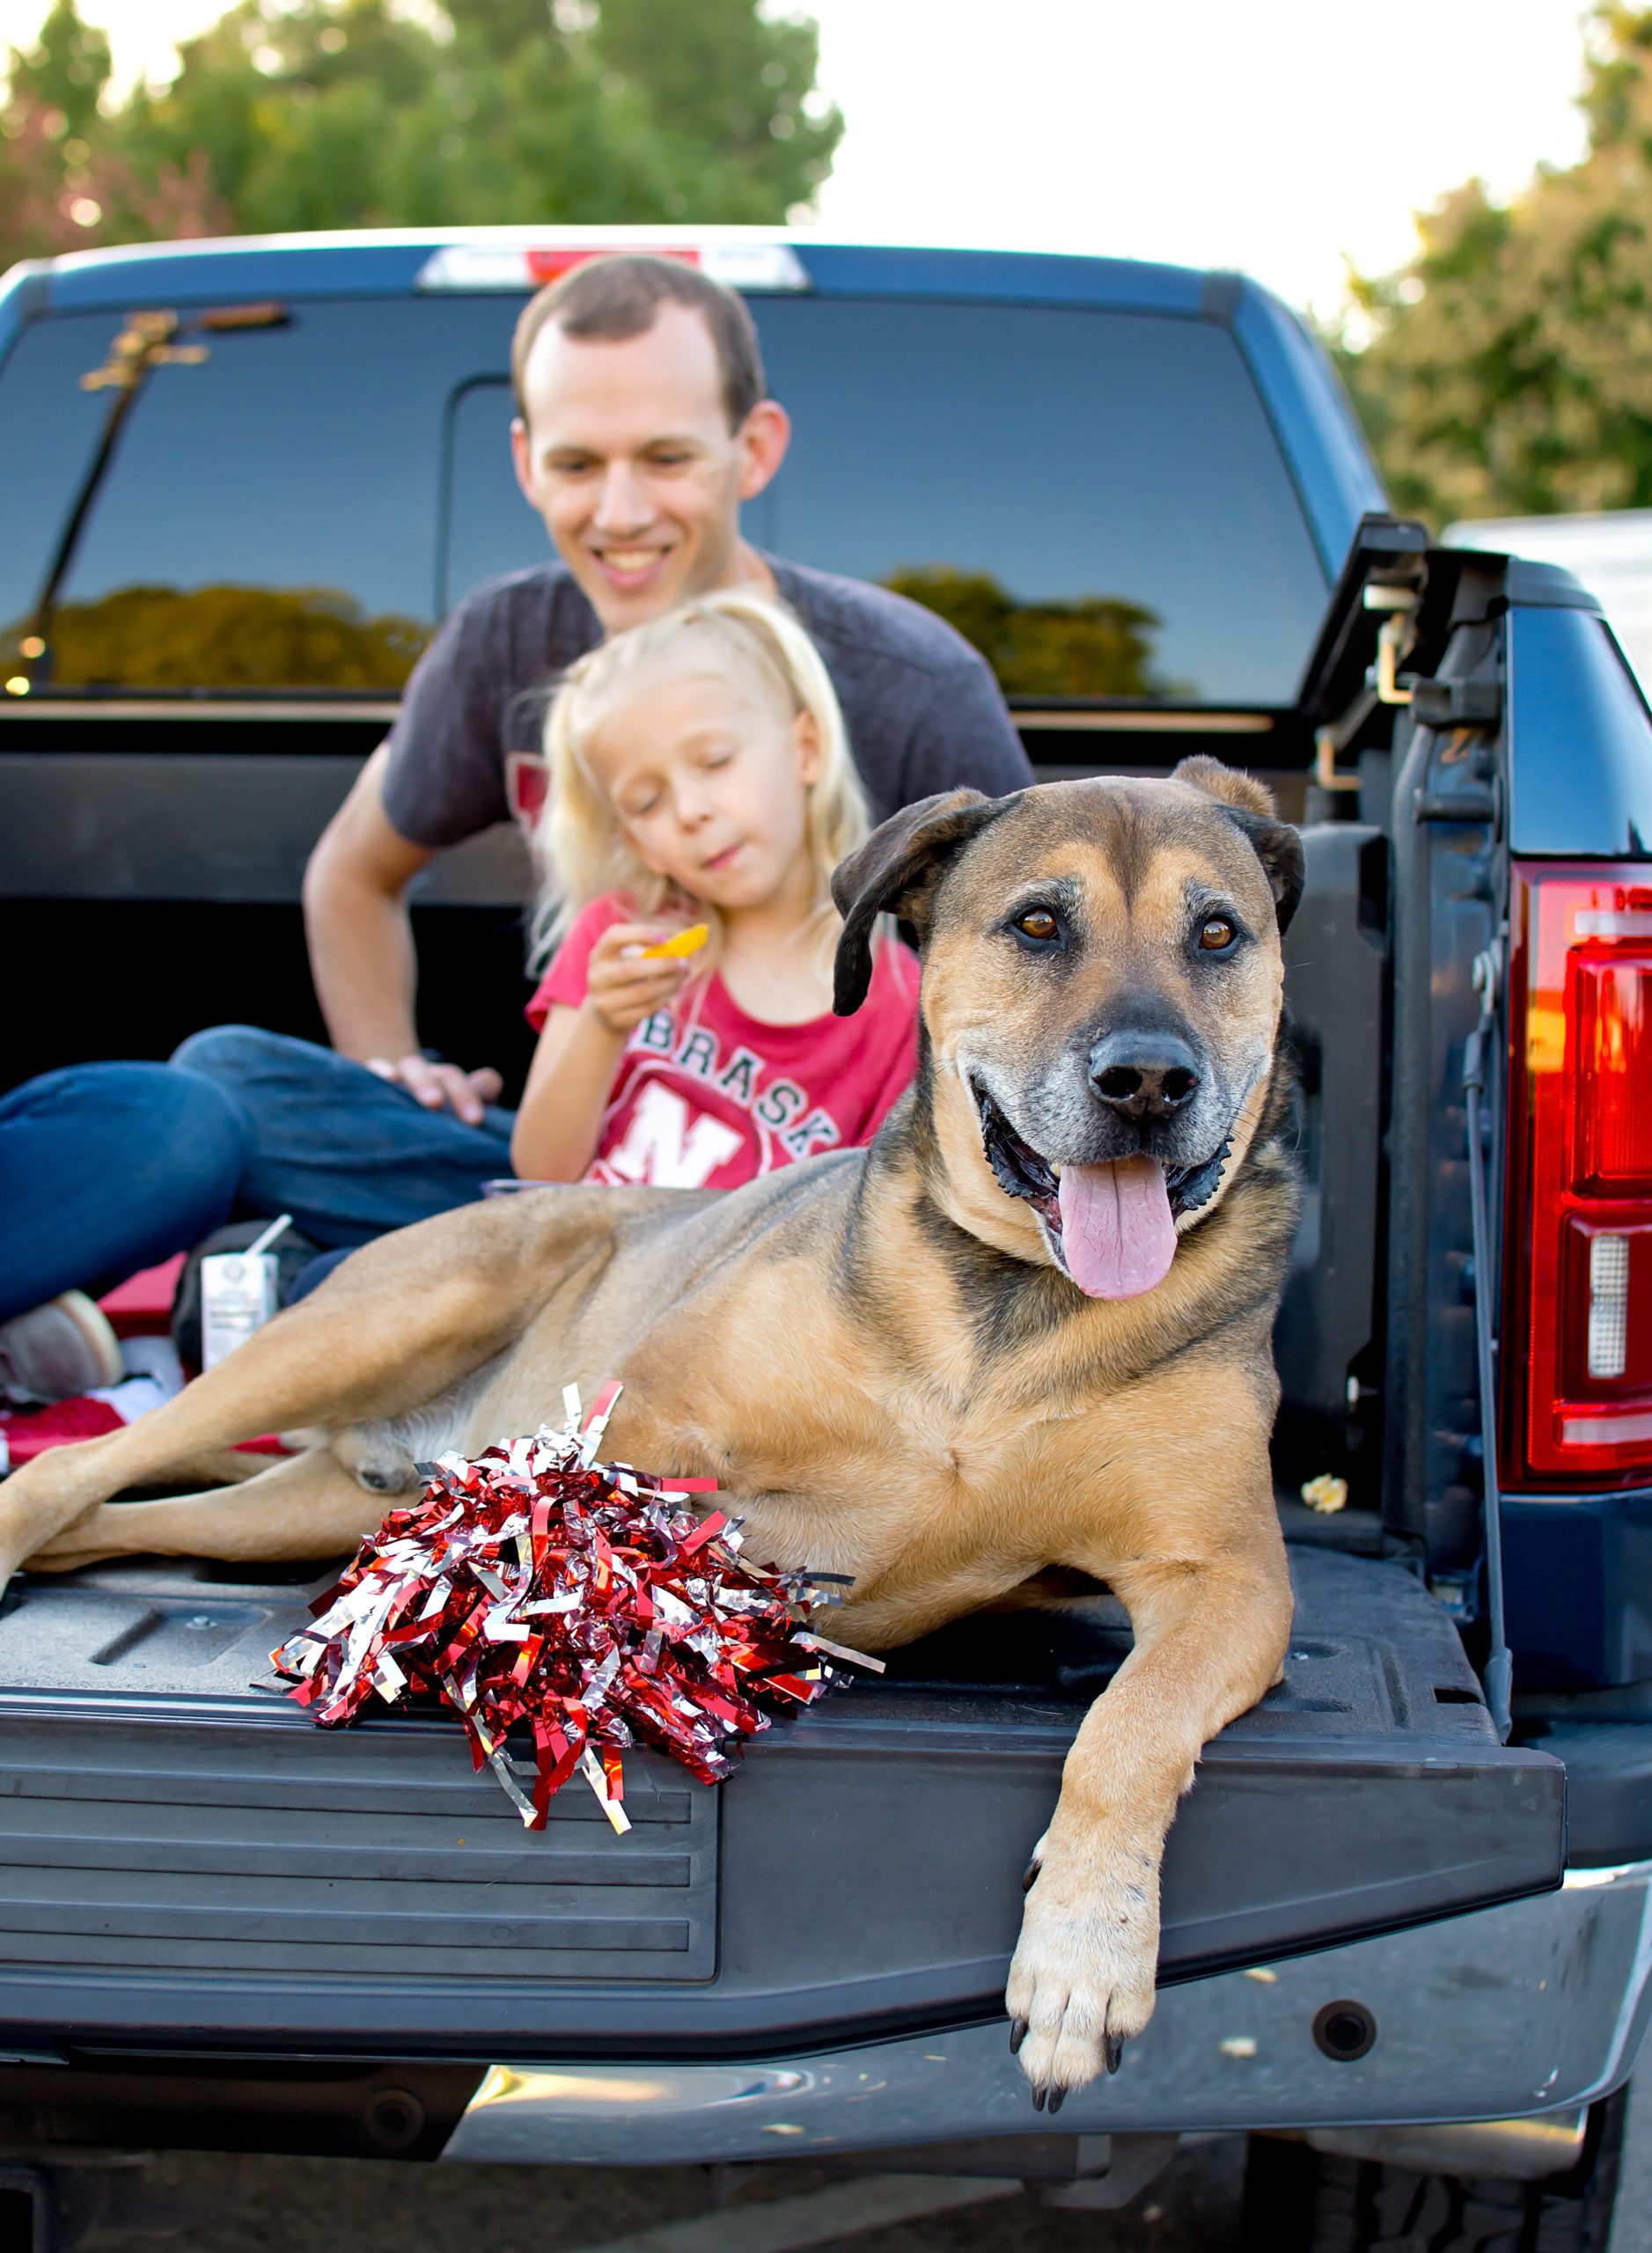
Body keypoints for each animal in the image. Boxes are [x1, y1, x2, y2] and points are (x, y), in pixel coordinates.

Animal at [0, 761, 1297, 2109]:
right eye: (1039, 924)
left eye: (1218, 935)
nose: (1148, 1081)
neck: (1002, 1308)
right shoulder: (655, 1415)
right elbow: (609, 1535)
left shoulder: (1227, 1580)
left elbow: (1128, 1728)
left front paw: (1086, 1953)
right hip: (379, 1320)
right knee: (72, 1466)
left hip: (300, 1507)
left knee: (111, 1517)